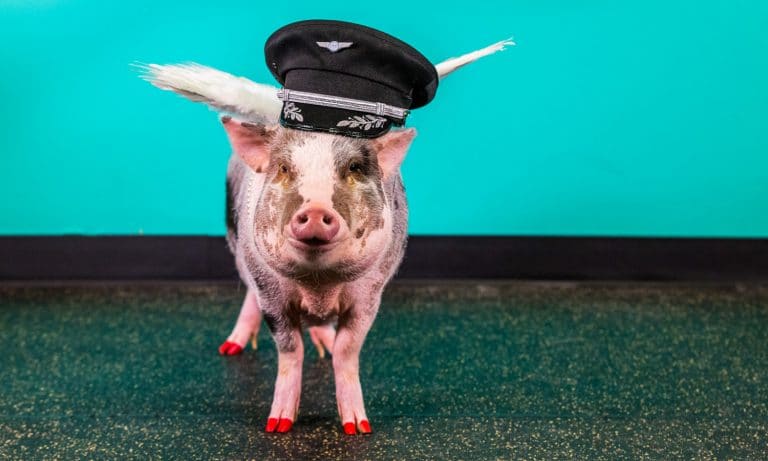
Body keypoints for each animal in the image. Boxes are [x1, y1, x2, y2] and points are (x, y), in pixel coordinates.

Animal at [213, 117, 414, 434]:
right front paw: (278, 426)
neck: (319, 285)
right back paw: (230, 349)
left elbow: (347, 350)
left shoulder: (369, 297)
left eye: (354, 167)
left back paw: (325, 345)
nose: (317, 210)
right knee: (249, 293)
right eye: (284, 168)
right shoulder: (272, 297)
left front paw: (358, 428)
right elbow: (290, 350)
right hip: (240, 250)